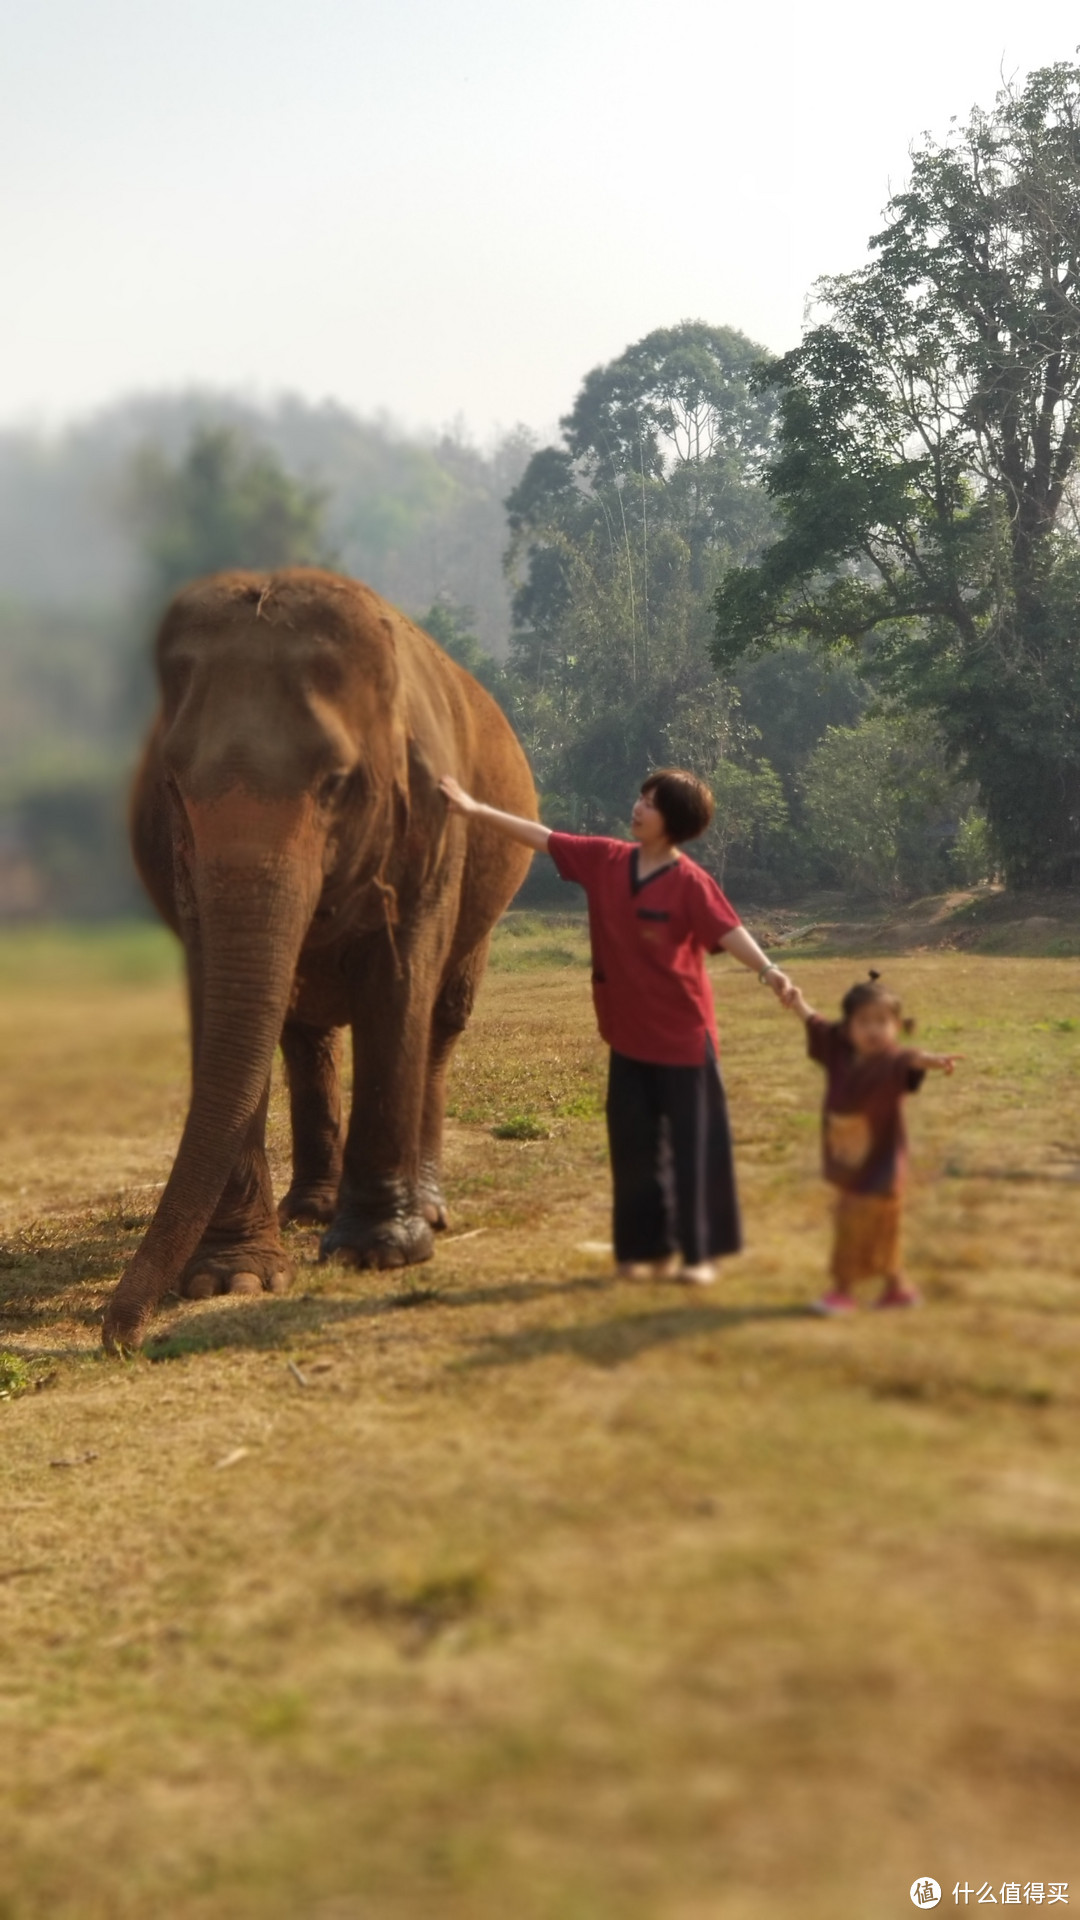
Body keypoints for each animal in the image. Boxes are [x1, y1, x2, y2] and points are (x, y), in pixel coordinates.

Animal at [102, 564, 530, 1351]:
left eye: (336, 784)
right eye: (171, 785)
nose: (120, 1337)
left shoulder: (432, 829)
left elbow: (399, 982)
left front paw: (376, 1253)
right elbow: (215, 998)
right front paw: (233, 1280)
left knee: (441, 1020)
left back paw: (426, 1211)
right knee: (307, 1034)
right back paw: (309, 1212)